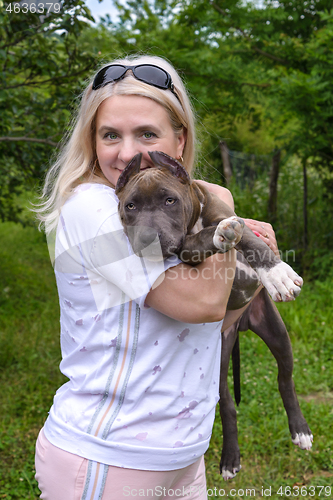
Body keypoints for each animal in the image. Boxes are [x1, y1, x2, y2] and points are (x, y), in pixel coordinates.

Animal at [115, 149, 312, 480]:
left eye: (169, 200)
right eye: (130, 206)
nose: (147, 238)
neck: (194, 221)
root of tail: (240, 325)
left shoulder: (230, 216)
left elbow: (249, 238)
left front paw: (276, 273)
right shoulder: (186, 250)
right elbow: (202, 240)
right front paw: (219, 237)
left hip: (276, 332)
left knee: (285, 379)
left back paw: (300, 430)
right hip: (219, 361)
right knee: (228, 405)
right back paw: (230, 460)